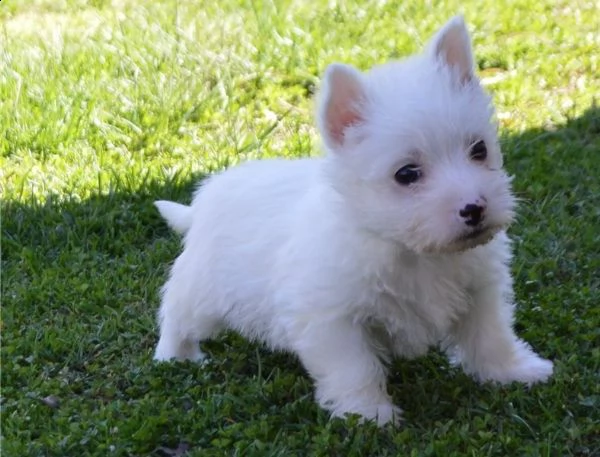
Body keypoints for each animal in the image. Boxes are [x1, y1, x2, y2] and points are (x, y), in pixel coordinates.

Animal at [155, 16, 552, 424]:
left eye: (479, 149)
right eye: (407, 174)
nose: (475, 208)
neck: (411, 251)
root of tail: (203, 201)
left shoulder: (479, 291)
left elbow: (491, 337)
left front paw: (515, 371)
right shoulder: (333, 319)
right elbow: (354, 368)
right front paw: (369, 414)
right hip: (202, 291)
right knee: (175, 313)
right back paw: (174, 357)